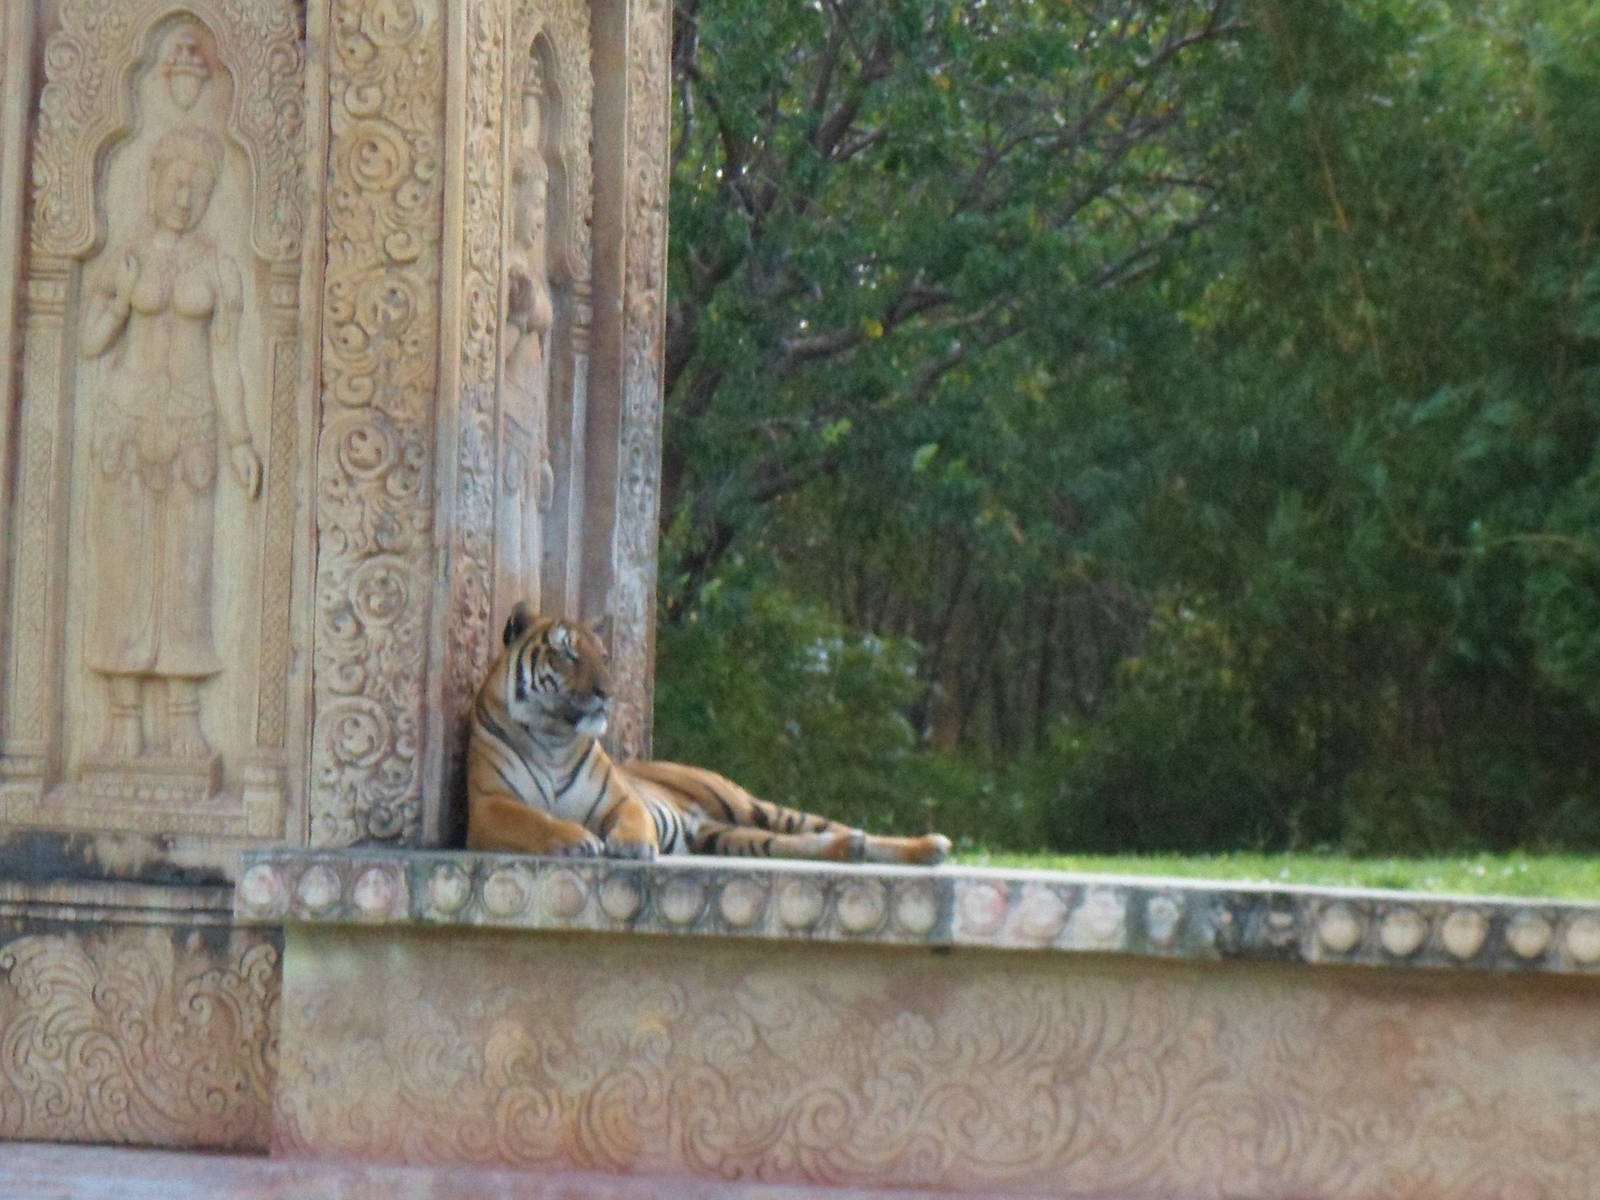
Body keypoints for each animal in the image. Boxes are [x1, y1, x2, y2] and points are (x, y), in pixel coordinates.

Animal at [466, 603, 952, 865]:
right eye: (568, 654)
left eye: (602, 655)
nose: (607, 691)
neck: (554, 738)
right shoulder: (488, 804)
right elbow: (537, 818)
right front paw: (577, 840)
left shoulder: (621, 800)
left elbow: (632, 818)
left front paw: (632, 846)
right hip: (730, 836)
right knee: (797, 843)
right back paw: (851, 848)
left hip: (751, 806)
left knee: (832, 826)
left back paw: (928, 846)